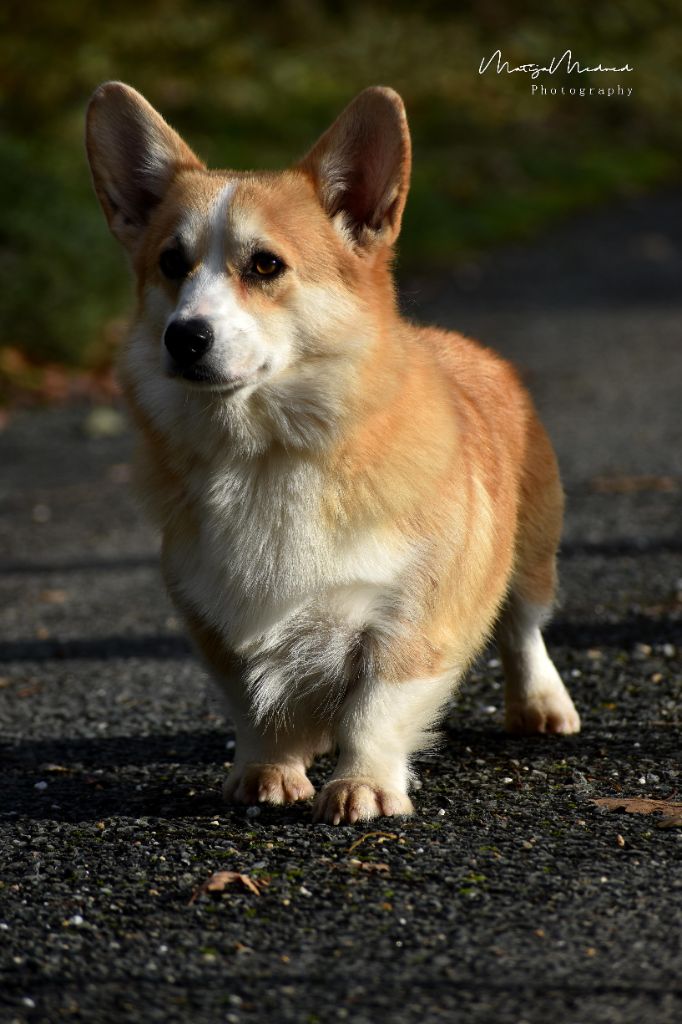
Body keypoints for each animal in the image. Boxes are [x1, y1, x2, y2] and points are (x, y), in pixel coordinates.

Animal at [82, 83, 577, 827]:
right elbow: (256, 707)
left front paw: (363, 785)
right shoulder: (215, 619)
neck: (266, 456)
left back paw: (542, 704)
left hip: (531, 550)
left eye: (265, 265)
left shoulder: (411, 615)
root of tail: (465, 344)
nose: (183, 337)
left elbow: (375, 706)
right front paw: (269, 770)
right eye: (171, 264)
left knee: (522, 627)